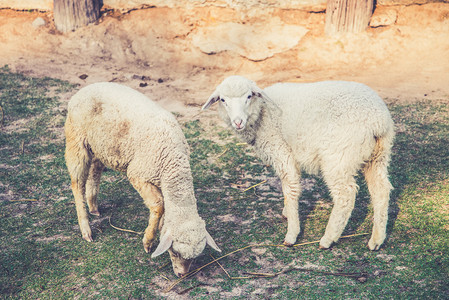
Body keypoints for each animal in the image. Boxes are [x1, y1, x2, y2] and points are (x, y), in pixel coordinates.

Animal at [64, 82, 220, 276]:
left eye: (195, 257)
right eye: (174, 252)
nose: (182, 275)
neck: (173, 162)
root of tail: (86, 88)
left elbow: (163, 207)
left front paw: (160, 227)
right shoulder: (139, 173)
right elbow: (159, 204)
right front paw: (148, 241)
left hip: (101, 145)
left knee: (95, 168)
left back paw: (93, 206)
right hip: (76, 139)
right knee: (77, 183)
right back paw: (86, 228)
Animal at [201, 75, 394, 251]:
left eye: (249, 96)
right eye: (223, 100)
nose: (238, 122)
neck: (262, 114)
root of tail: (377, 120)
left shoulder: (282, 151)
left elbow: (290, 189)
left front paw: (292, 234)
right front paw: (287, 213)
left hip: (338, 156)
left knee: (345, 195)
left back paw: (328, 239)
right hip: (378, 156)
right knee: (381, 190)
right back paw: (377, 239)